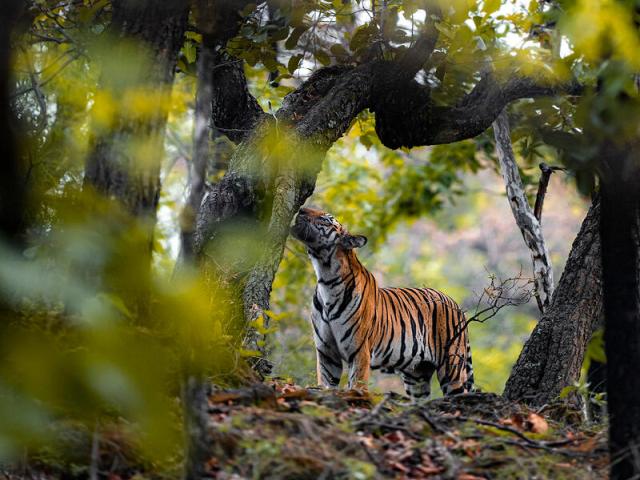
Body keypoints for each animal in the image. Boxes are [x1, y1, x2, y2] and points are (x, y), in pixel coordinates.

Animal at [291, 206, 475, 399]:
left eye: (325, 219)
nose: (301, 209)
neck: (326, 278)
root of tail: (454, 303)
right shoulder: (326, 352)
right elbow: (326, 383)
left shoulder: (360, 351)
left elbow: (357, 384)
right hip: (417, 375)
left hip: (451, 365)